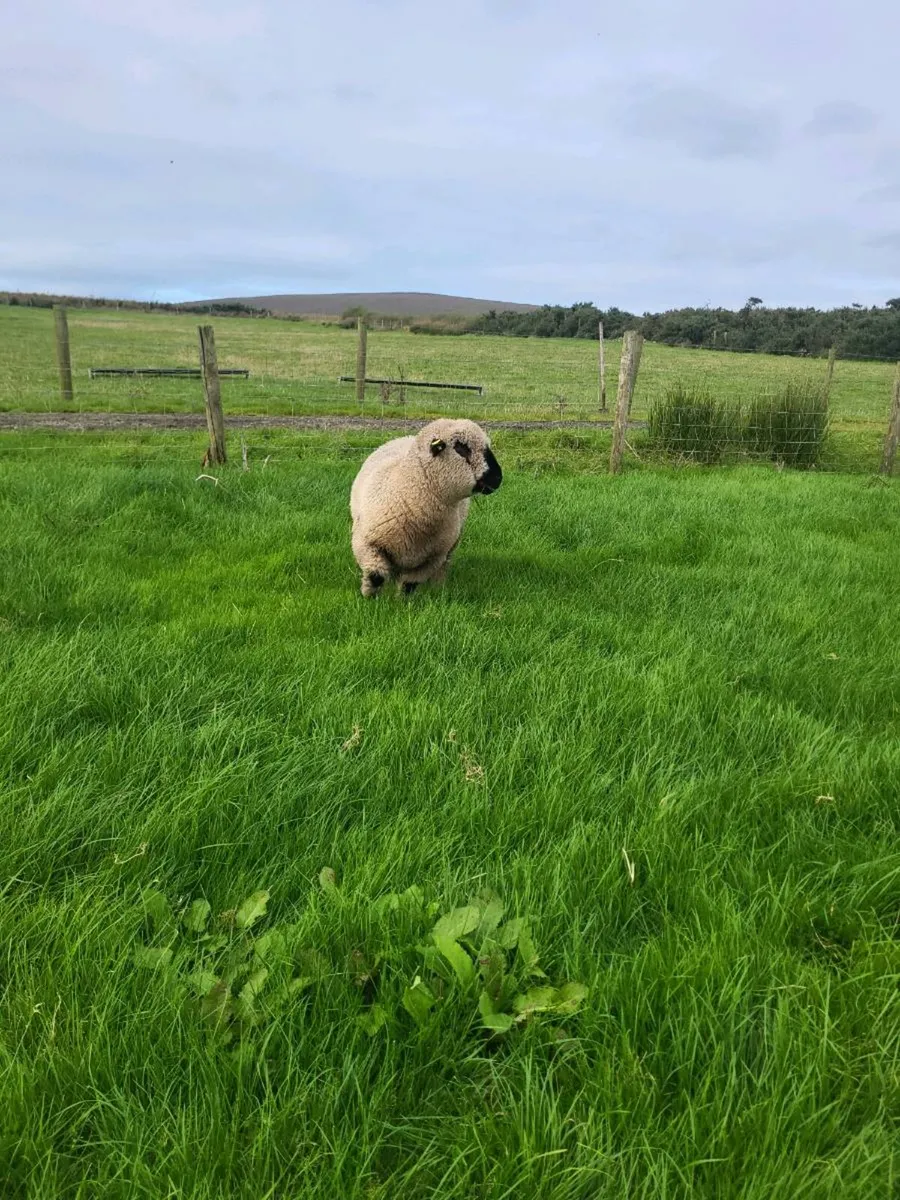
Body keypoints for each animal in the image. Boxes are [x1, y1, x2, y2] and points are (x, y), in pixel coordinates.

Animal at [349, 418, 502, 597]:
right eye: (461, 447)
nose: (497, 478)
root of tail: (405, 437)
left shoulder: (433, 559)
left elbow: (409, 585)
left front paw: (403, 601)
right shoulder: (366, 544)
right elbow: (376, 576)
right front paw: (370, 597)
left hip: (451, 545)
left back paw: (438, 587)